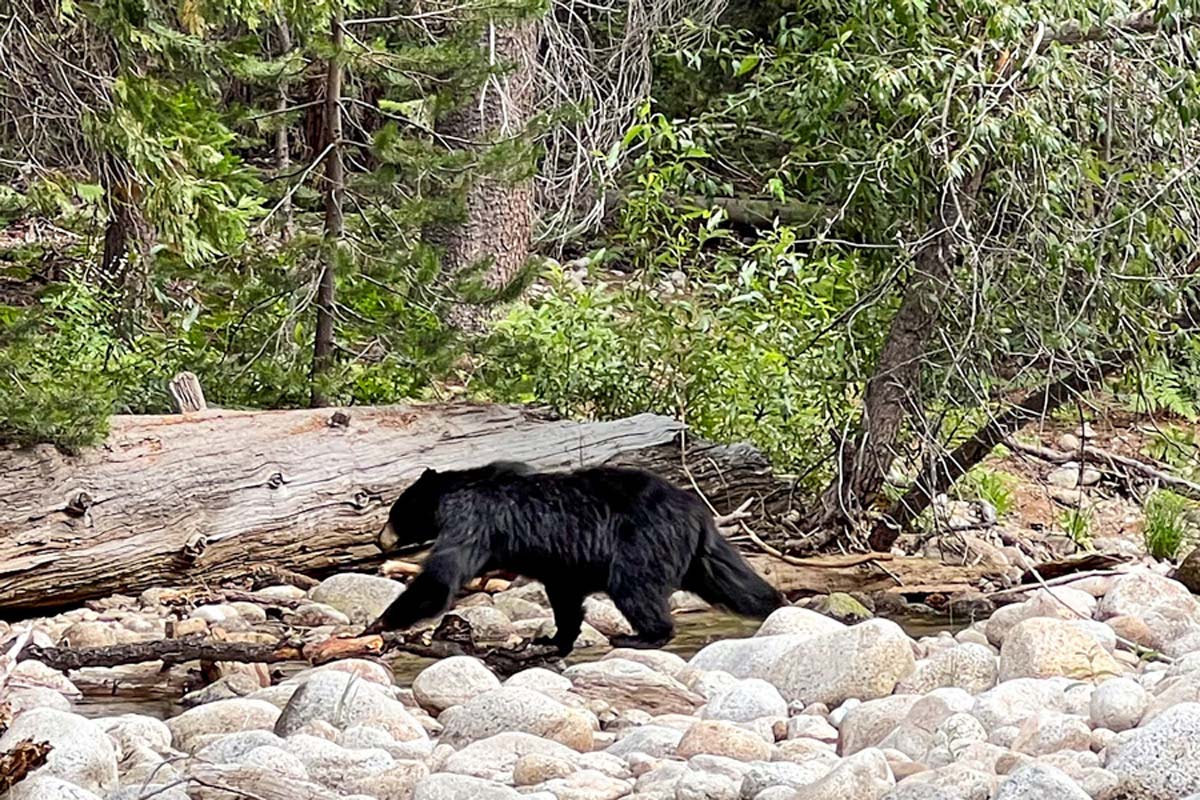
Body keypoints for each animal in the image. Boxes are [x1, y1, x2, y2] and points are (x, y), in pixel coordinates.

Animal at [360, 460, 782, 652]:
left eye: (394, 511)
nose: (380, 540)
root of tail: (697, 512)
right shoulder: (560, 563)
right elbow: (564, 595)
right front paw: (554, 638)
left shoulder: (472, 519)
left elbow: (441, 577)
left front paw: (377, 624)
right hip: (700, 554)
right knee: (734, 580)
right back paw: (773, 605)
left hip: (642, 542)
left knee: (634, 588)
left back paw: (642, 636)